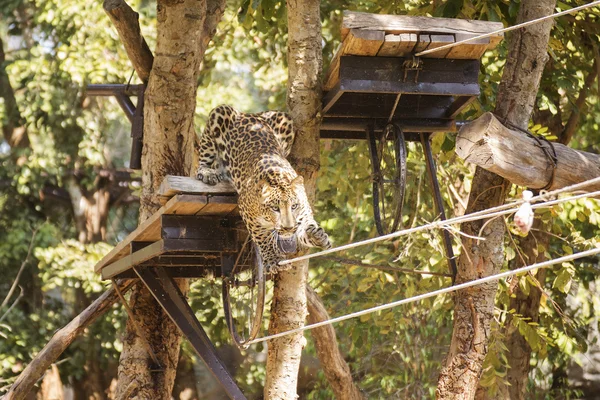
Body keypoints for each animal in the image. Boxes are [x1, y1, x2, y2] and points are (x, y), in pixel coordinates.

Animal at [195, 104, 330, 274]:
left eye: (294, 206)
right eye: (275, 208)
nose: (288, 228)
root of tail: (249, 114)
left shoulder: (303, 210)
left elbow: (304, 223)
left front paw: (316, 236)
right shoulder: (247, 211)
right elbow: (262, 236)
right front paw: (272, 259)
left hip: (284, 119)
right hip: (219, 114)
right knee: (205, 159)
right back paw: (209, 172)